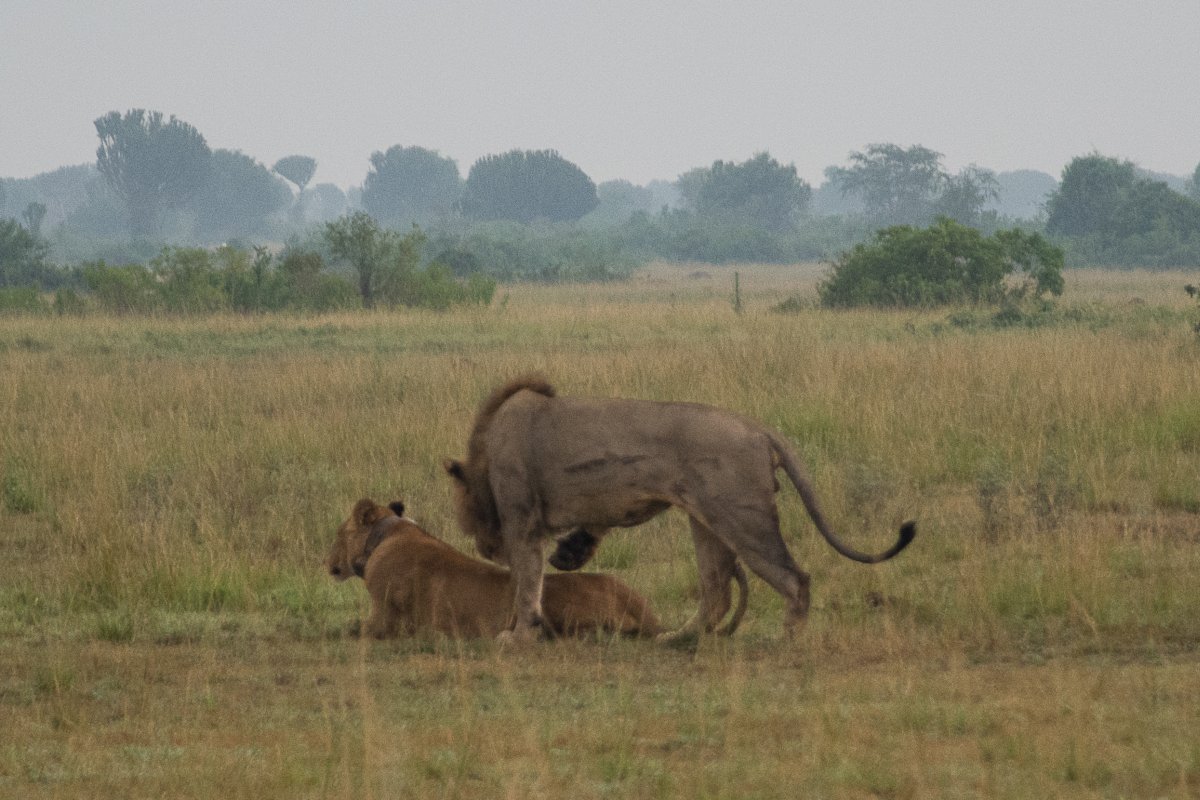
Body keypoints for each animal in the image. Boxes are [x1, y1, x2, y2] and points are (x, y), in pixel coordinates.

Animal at [328, 501, 734, 638]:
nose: (326, 561)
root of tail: (644, 609)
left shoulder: (385, 619)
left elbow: (349, 629)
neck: (392, 533)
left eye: (336, 533)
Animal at [446, 376, 912, 642]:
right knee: (717, 589)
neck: (485, 450)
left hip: (743, 518)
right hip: (706, 520)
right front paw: (570, 555)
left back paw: (789, 639)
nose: (485, 548)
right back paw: (677, 637)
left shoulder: (521, 519)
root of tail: (757, 428)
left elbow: (526, 580)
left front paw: (518, 635)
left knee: (794, 578)